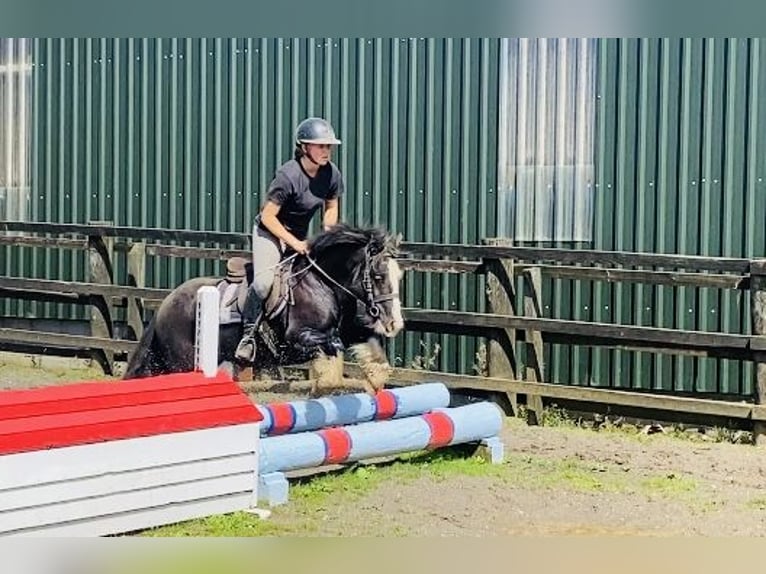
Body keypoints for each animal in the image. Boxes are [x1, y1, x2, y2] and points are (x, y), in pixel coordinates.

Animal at [123, 225, 404, 396]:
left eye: (399, 276)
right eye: (378, 276)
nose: (395, 324)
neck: (322, 283)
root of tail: (165, 305)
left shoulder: (349, 331)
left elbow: (372, 351)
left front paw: (373, 383)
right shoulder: (297, 338)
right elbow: (332, 345)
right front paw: (325, 385)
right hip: (180, 360)